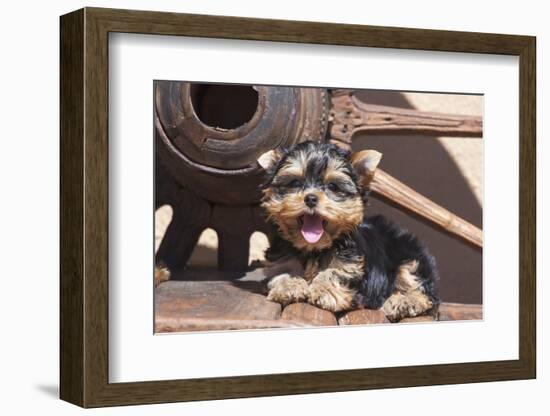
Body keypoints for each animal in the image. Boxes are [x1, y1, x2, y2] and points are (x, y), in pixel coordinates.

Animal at [260, 141, 442, 322]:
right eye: (295, 183)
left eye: (333, 186)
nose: (310, 198)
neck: (314, 248)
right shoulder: (280, 260)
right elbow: (282, 272)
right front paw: (289, 285)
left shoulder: (353, 267)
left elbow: (335, 272)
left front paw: (324, 290)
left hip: (410, 257)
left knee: (424, 292)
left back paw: (404, 301)